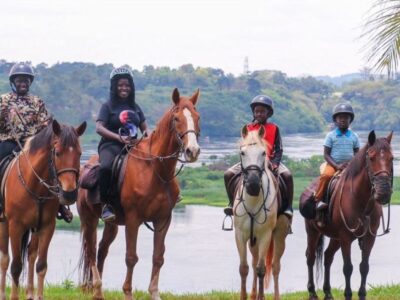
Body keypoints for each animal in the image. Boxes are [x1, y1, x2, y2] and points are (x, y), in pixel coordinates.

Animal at [0, 119, 86, 300]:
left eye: (80, 154)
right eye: (58, 153)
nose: (69, 193)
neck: (34, 186)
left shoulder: (47, 226)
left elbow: (41, 265)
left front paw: (38, 295)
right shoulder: (15, 226)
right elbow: (16, 266)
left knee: (31, 254)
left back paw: (30, 293)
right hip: (4, 224)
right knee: (4, 259)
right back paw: (3, 293)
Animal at [78, 88, 202, 300]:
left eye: (197, 116)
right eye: (176, 118)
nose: (192, 151)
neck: (156, 170)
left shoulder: (163, 219)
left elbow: (158, 257)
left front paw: (154, 294)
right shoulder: (133, 219)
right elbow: (131, 257)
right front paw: (128, 293)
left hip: (112, 225)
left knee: (102, 250)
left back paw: (98, 292)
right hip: (89, 220)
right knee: (91, 251)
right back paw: (96, 288)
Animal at [233, 125, 290, 300]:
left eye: (264, 153)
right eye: (242, 152)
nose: (252, 184)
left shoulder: (266, 235)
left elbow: (261, 269)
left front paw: (262, 297)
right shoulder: (240, 234)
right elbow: (244, 268)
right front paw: (244, 296)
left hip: (279, 235)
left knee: (275, 266)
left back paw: (276, 296)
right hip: (254, 240)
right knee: (254, 262)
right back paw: (252, 294)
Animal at [302, 131, 392, 300]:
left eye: (392, 158)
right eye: (371, 157)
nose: (383, 192)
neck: (361, 202)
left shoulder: (369, 237)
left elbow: (364, 267)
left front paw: (362, 295)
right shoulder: (345, 237)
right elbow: (348, 268)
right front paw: (348, 295)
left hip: (335, 238)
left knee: (328, 257)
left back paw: (328, 292)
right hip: (313, 231)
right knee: (310, 257)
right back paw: (312, 292)